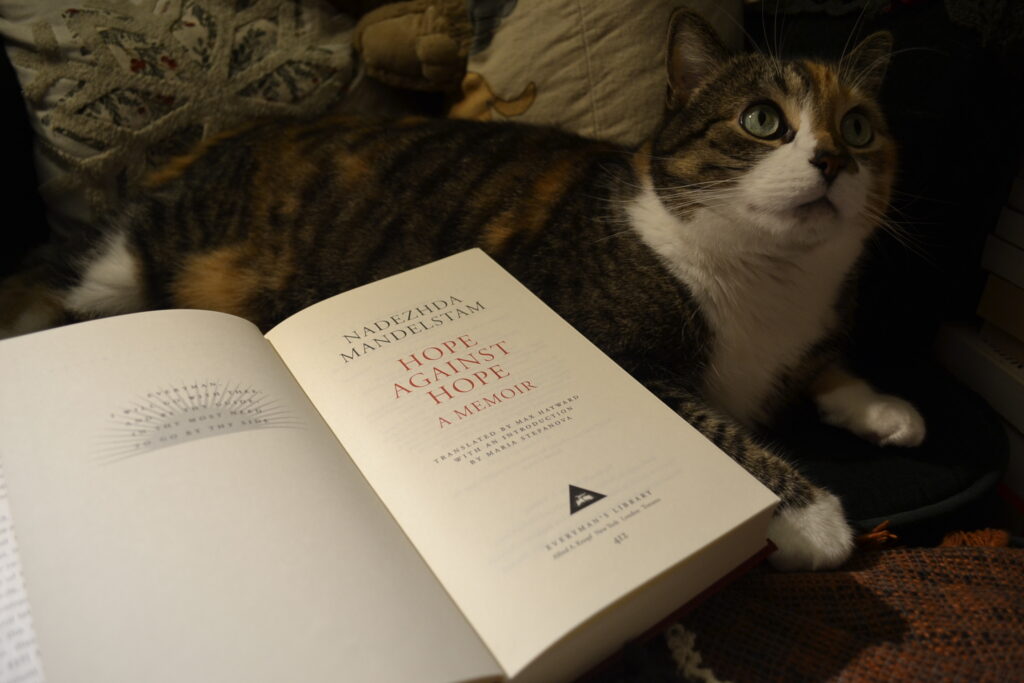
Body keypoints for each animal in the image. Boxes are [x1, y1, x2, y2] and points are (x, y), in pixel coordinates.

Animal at [2, 12, 929, 573]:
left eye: (858, 127)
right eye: (763, 121)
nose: (832, 160)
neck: (769, 280)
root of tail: (197, 150)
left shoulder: (809, 326)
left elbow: (821, 363)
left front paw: (883, 407)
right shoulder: (600, 337)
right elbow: (708, 421)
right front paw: (813, 516)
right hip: (125, 264)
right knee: (59, 283)